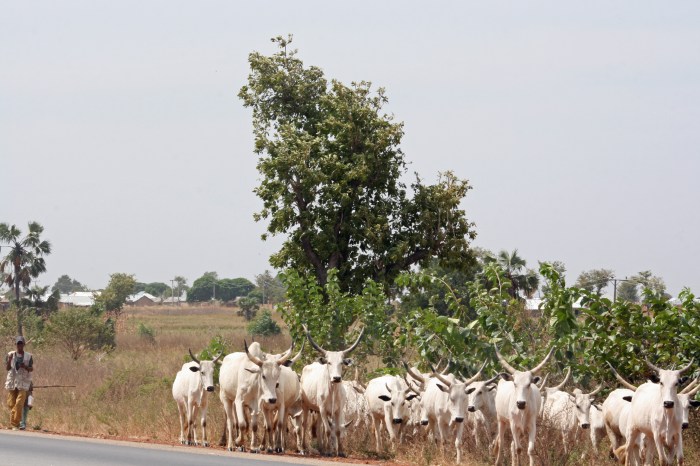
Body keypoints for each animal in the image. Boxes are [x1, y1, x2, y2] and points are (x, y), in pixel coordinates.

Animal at [300, 325, 364, 457]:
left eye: (342, 363)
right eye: (329, 362)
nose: (336, 378)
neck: (333, 391)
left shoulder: (338, 410)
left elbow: (337, 430)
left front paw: (340, 451)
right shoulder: (323, 410)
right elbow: (328, 431)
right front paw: (329, 451)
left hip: (318, 411)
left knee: (319, 427)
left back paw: (321, 448)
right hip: (305, 405)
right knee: (304, 424)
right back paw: (304, 448)